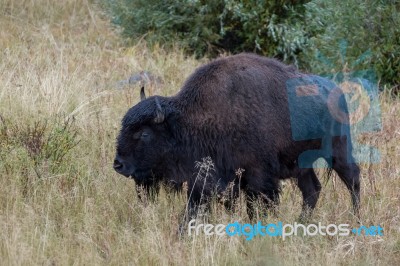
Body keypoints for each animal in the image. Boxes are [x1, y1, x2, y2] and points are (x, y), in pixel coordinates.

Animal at [113, 53, 362, 224]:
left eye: (144, 133)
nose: (118, 164)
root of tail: (336, 90)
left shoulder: (257, 177)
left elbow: (258, 205)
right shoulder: (211, 178)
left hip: (338, 151)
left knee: (352, 179)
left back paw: (357, 219)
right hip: (302, 165)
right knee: (312, 190)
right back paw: (302, 223)